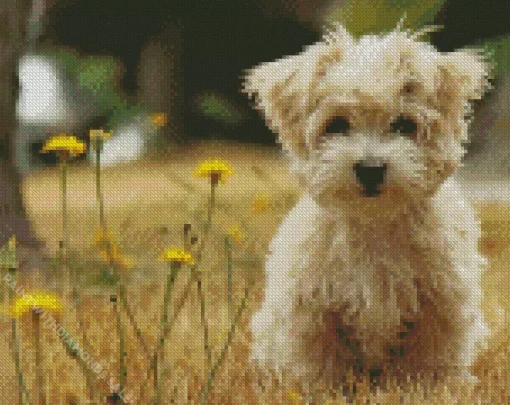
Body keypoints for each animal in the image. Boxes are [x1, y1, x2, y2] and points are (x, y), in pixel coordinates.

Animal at [243, 22, 490, 392]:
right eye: (336, 124)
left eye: (404, 125)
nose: (371, 168)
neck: (375, 223)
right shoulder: (312, 305)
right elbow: (320, 360)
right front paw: (324, 390)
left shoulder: (442, 301)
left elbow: (430, 356)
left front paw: (427, 388)